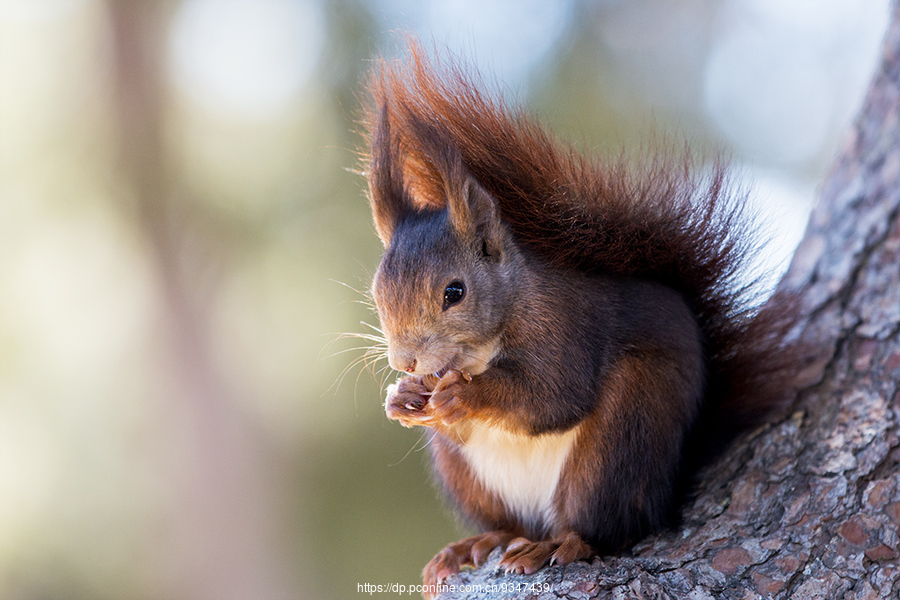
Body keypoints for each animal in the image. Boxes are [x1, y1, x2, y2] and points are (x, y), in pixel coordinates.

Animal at [358, 41, 796, 592]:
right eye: (376, 294)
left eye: (454, 293)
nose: (406, 361)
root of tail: (667, 489)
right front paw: (403, 396)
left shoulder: (562, 329)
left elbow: (554, 397)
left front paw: (464, 395)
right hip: (468, 477)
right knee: (511, 523)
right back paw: (478, 543)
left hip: (621, 437)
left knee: (601, 526)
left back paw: (556, 543)